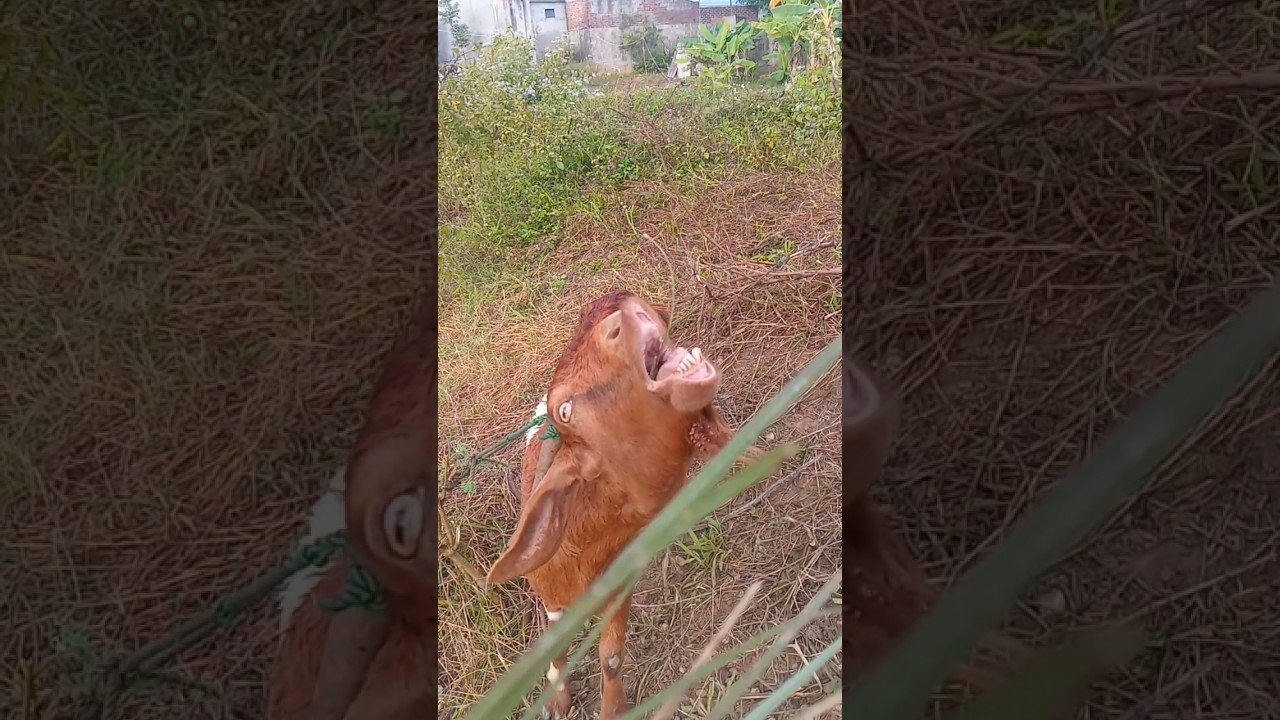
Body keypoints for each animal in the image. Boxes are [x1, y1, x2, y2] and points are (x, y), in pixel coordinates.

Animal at [486, 290, 743, 720]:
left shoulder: (620, 585)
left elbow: (611, 655)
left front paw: (612, 708)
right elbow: (554, 645)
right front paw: (556, 702)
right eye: (565, 410)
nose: (619, 308)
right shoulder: (550, 593)